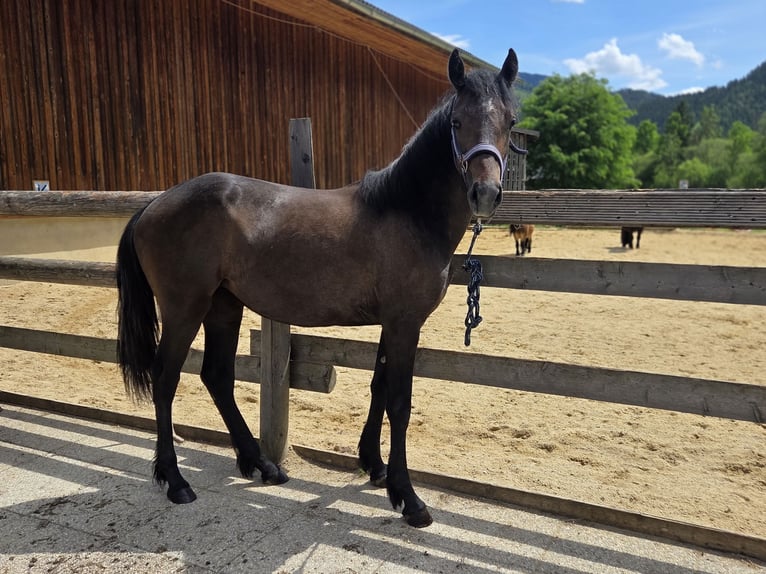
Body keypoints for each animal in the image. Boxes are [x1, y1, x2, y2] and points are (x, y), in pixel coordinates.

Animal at [116, 48, 524, 528]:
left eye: (511, 121)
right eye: (457, 121)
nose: (485, 193)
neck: (407, 211)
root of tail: (153, 205)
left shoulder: (392, 323)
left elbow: (379, 389)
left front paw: (375, 467)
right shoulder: (405, 323)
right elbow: (399, 403)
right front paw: (408, 498)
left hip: (223, 306)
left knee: (217, 376)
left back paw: (260, 464)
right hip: (185, 307)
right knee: (165, 379)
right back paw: (175, 480)